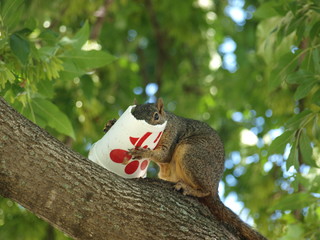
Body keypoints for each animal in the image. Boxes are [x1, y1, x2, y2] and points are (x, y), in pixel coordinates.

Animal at [104, 98, 266, 239]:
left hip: (190, 154)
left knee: (205, 191)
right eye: (133, 112)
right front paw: (111, 123)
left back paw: (188, 188)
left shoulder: (173, 134)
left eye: (156, 116)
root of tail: (215, 187)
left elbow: (164, 155)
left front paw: (143, 152)